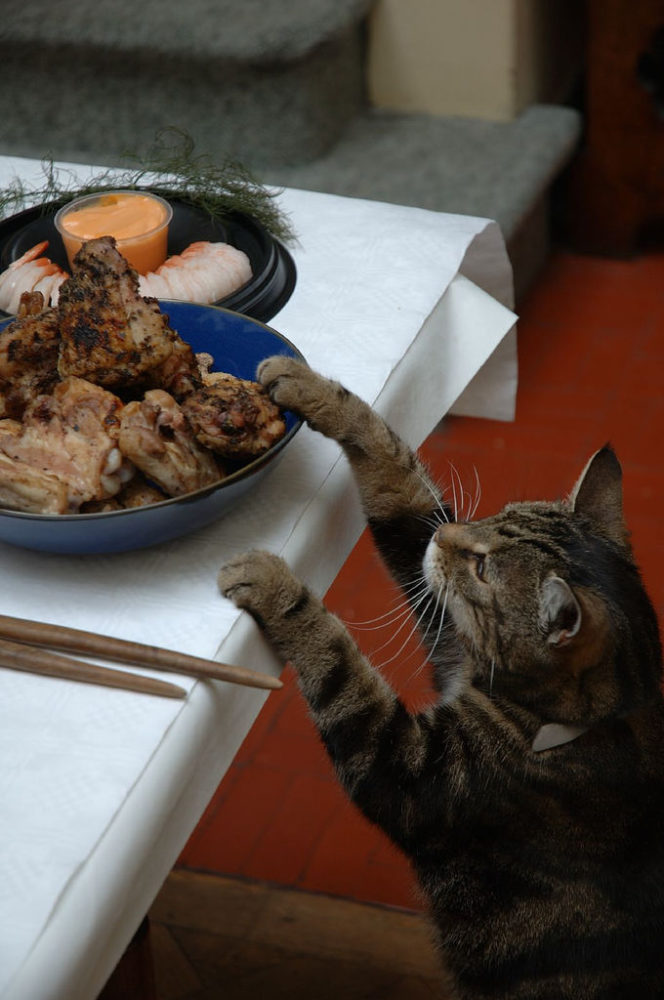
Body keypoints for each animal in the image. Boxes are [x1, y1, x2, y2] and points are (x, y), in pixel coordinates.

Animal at [218, 356, 664, 996]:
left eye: (482, 567)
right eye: (497, 517)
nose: (445, 535)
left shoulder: (404, 766)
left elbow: (336, 660)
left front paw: (275, 585)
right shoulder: (443, 619)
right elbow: (396, 473)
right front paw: (307, 384)